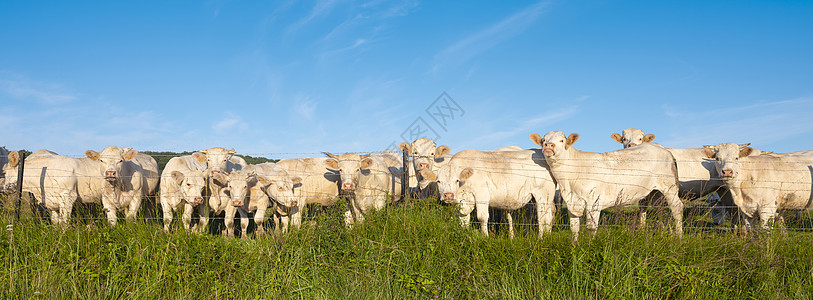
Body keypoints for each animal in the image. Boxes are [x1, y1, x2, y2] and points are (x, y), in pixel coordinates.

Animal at [416, 148, 556, 239]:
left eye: (456, 180)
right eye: (438, 181)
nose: (448, 195)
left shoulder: (482, 194)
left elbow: (482, 217)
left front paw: (485, 237)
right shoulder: (464, 200)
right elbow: (463, 219)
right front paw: (464, 234)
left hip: (543, 194)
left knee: (542, 217)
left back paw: (541, 238)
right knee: (548, 217)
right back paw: (547, 236)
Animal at [528, 131, 680, 239]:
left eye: (562, 140)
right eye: (544, 140)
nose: (549, 145)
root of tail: (665, 150)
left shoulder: (594, 201)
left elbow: (591, 228)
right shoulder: (572, 202)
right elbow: (574, 228)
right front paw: (574, 247)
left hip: (669, 187)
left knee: (677, 208)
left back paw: (678, 238)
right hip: (655, 192)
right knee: (663, 212)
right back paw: (668, 235)